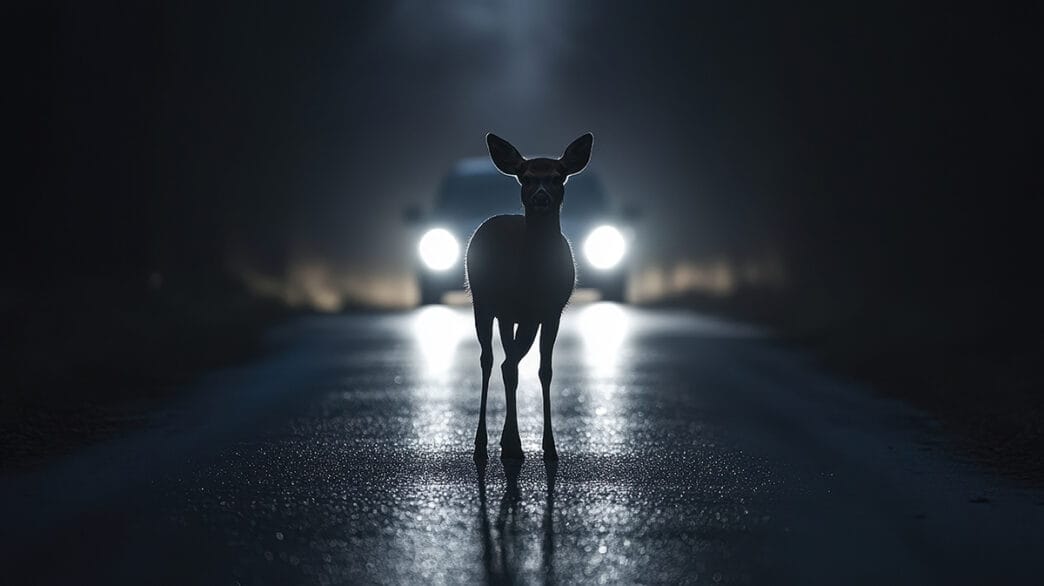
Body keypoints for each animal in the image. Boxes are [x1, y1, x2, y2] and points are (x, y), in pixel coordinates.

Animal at [466, 132, 593, 462]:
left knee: (507, 362)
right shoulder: (512, 308)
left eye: (558, 175)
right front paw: (513, 444)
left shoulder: (550, 312)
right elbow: (509, 366)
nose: (540, 196)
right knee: (489, 360)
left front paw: (549, 447)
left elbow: (544, 370)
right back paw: (483, 444)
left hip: (514, 317)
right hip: (482, 303)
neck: (532, 280)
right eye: (524, 176)